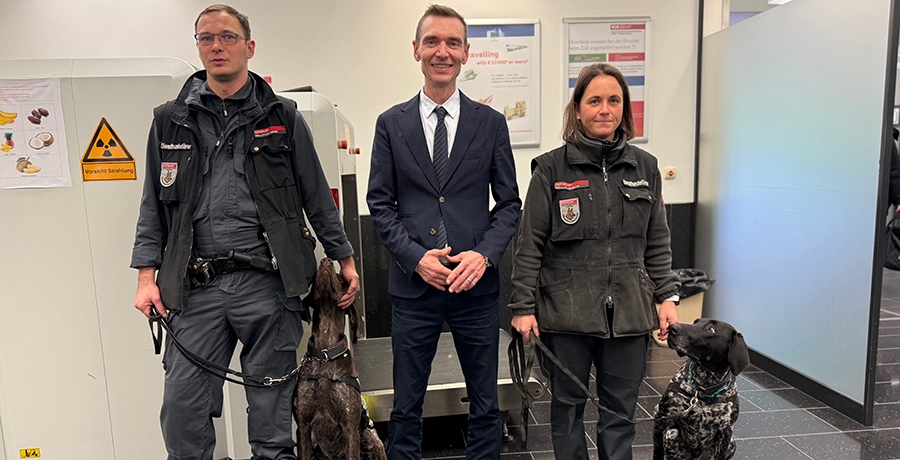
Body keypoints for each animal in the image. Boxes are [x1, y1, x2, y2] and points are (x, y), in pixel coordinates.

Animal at [652, 320, 752, 460]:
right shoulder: (661, 419)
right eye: (695, 322)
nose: (672, 327)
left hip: (732, 443)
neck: (704, 388)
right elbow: (657, 453)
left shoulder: (726, 432)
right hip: (671, 434)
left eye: (711, 329)